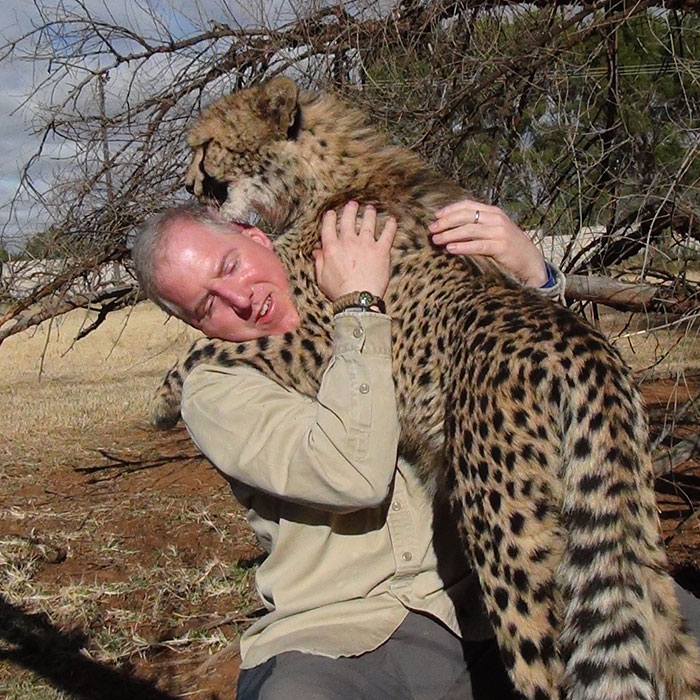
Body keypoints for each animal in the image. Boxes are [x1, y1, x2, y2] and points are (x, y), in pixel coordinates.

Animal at [149, 76, 700, 700]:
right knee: (665, 639)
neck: (318, 177)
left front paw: (163, 399)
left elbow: (214, 346)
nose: (188, 184)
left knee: (545, 662)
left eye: (205, 146)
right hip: (627, 532)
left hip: (505, 532)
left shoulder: (311, 336)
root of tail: (589, 350)